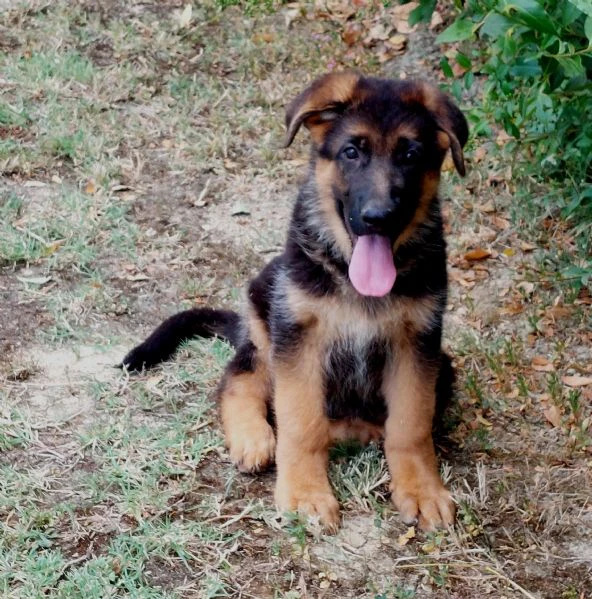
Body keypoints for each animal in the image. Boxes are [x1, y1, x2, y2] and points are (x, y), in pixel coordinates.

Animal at [123, 72, 468, 532]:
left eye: (411, 155)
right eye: (352, 152)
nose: (378, 217)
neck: (351, 277)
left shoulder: (419, 342)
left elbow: (411, 425)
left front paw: (421, 489)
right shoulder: (299, 335)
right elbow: (301, 422)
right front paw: (306, 492)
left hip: (443, 366)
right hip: (266, 318)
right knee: (238, 377)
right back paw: (253, 435)